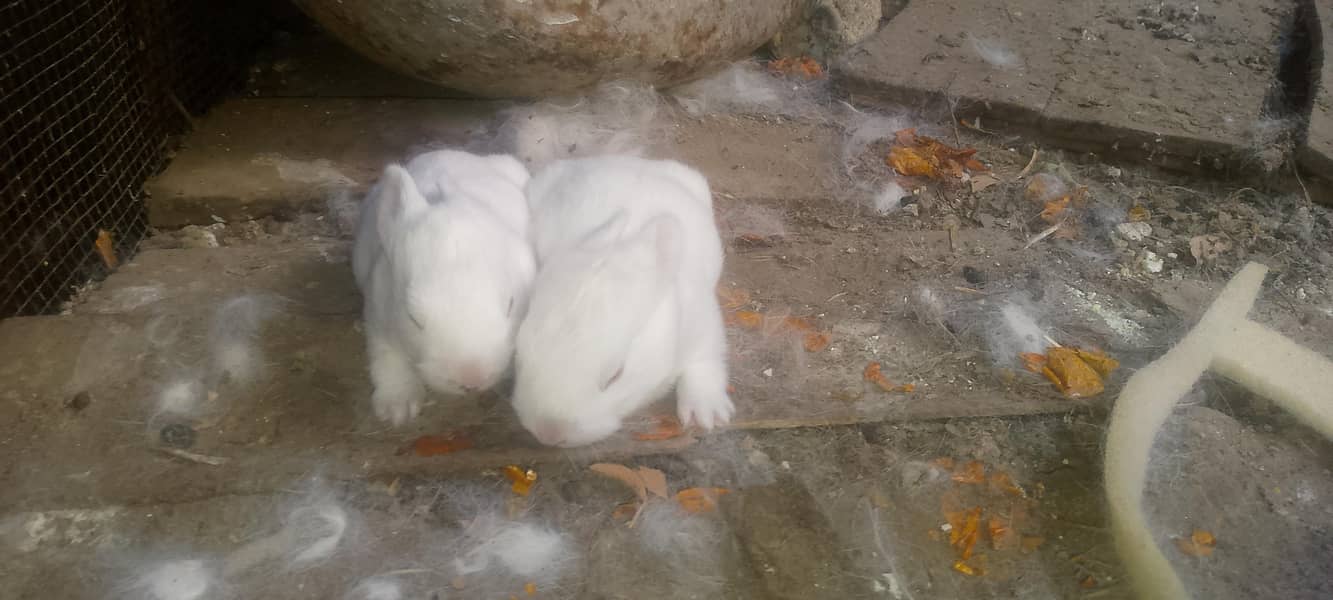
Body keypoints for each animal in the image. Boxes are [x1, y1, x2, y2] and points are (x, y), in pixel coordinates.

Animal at [353, 150, 537, 425]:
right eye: (413, 317)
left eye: (511, 305)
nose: (471, 380)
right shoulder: (377, 316)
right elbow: (387, 357)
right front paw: (398, 410)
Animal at [512, 155, 733, 447]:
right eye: (520, 356)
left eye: (615, 375)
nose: (549, 433)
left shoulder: (704, 327)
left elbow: (703, 363)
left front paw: (706, 415)